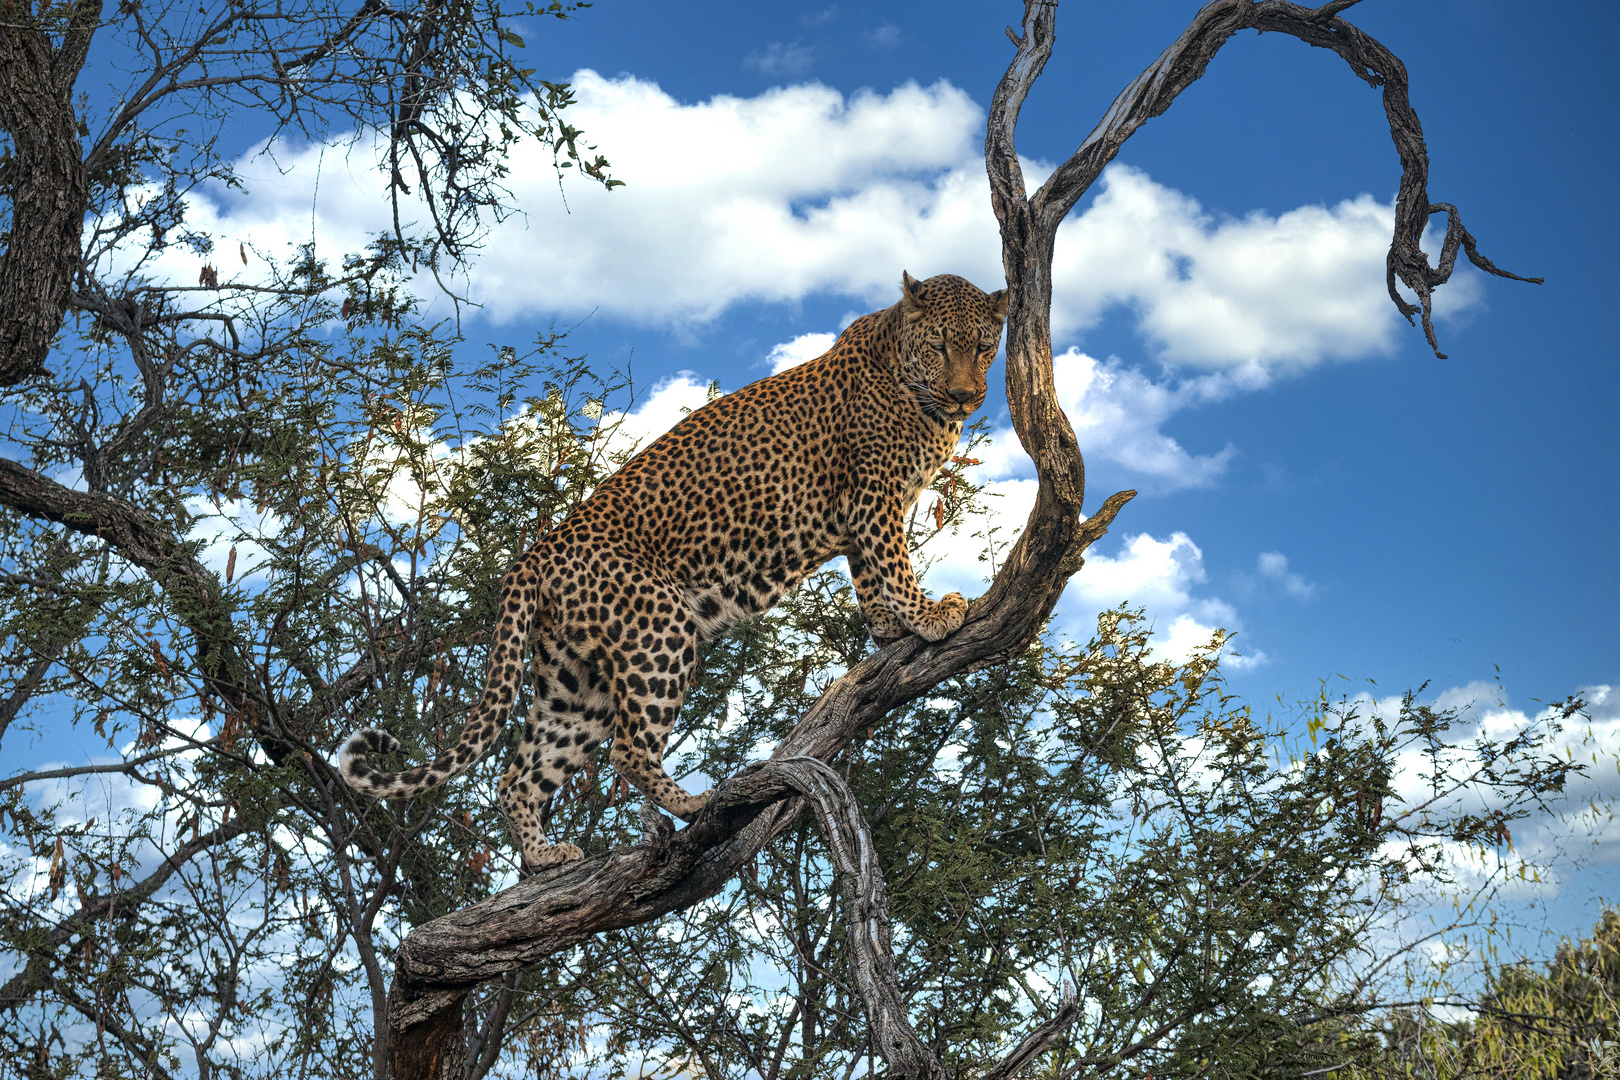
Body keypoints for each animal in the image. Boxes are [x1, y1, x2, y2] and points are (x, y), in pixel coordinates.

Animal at [336, 275, 1004, 874]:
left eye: (983, 347)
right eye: (940, 345)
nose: (968, 396)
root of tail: (534, 555)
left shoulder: (868, 508)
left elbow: (870, 574)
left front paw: (891, 628)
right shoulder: (874, 497)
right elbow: (891, 561)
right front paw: (931, 614)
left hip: (575, 684)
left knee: (519, 773)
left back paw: (546, 855)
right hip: (659, 631)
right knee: (628, 750)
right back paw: (696, 803)